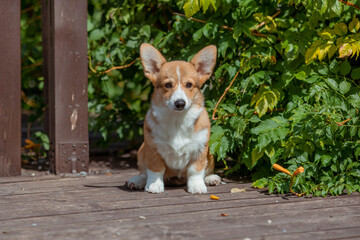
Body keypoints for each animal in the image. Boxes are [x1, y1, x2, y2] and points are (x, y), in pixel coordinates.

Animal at [126, 42, 222, 193]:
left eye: (189, 84)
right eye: (168, 85)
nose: (180, 103)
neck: (177, 120)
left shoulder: (200, 148)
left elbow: (196, 170)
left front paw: (197, 186)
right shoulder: (153, 148)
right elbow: (155, 169)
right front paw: (154, 185)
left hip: (210, 154)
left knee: (207, 169)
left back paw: (211, 178)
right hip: (141, 150)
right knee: (143, 172)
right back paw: (138, 180)